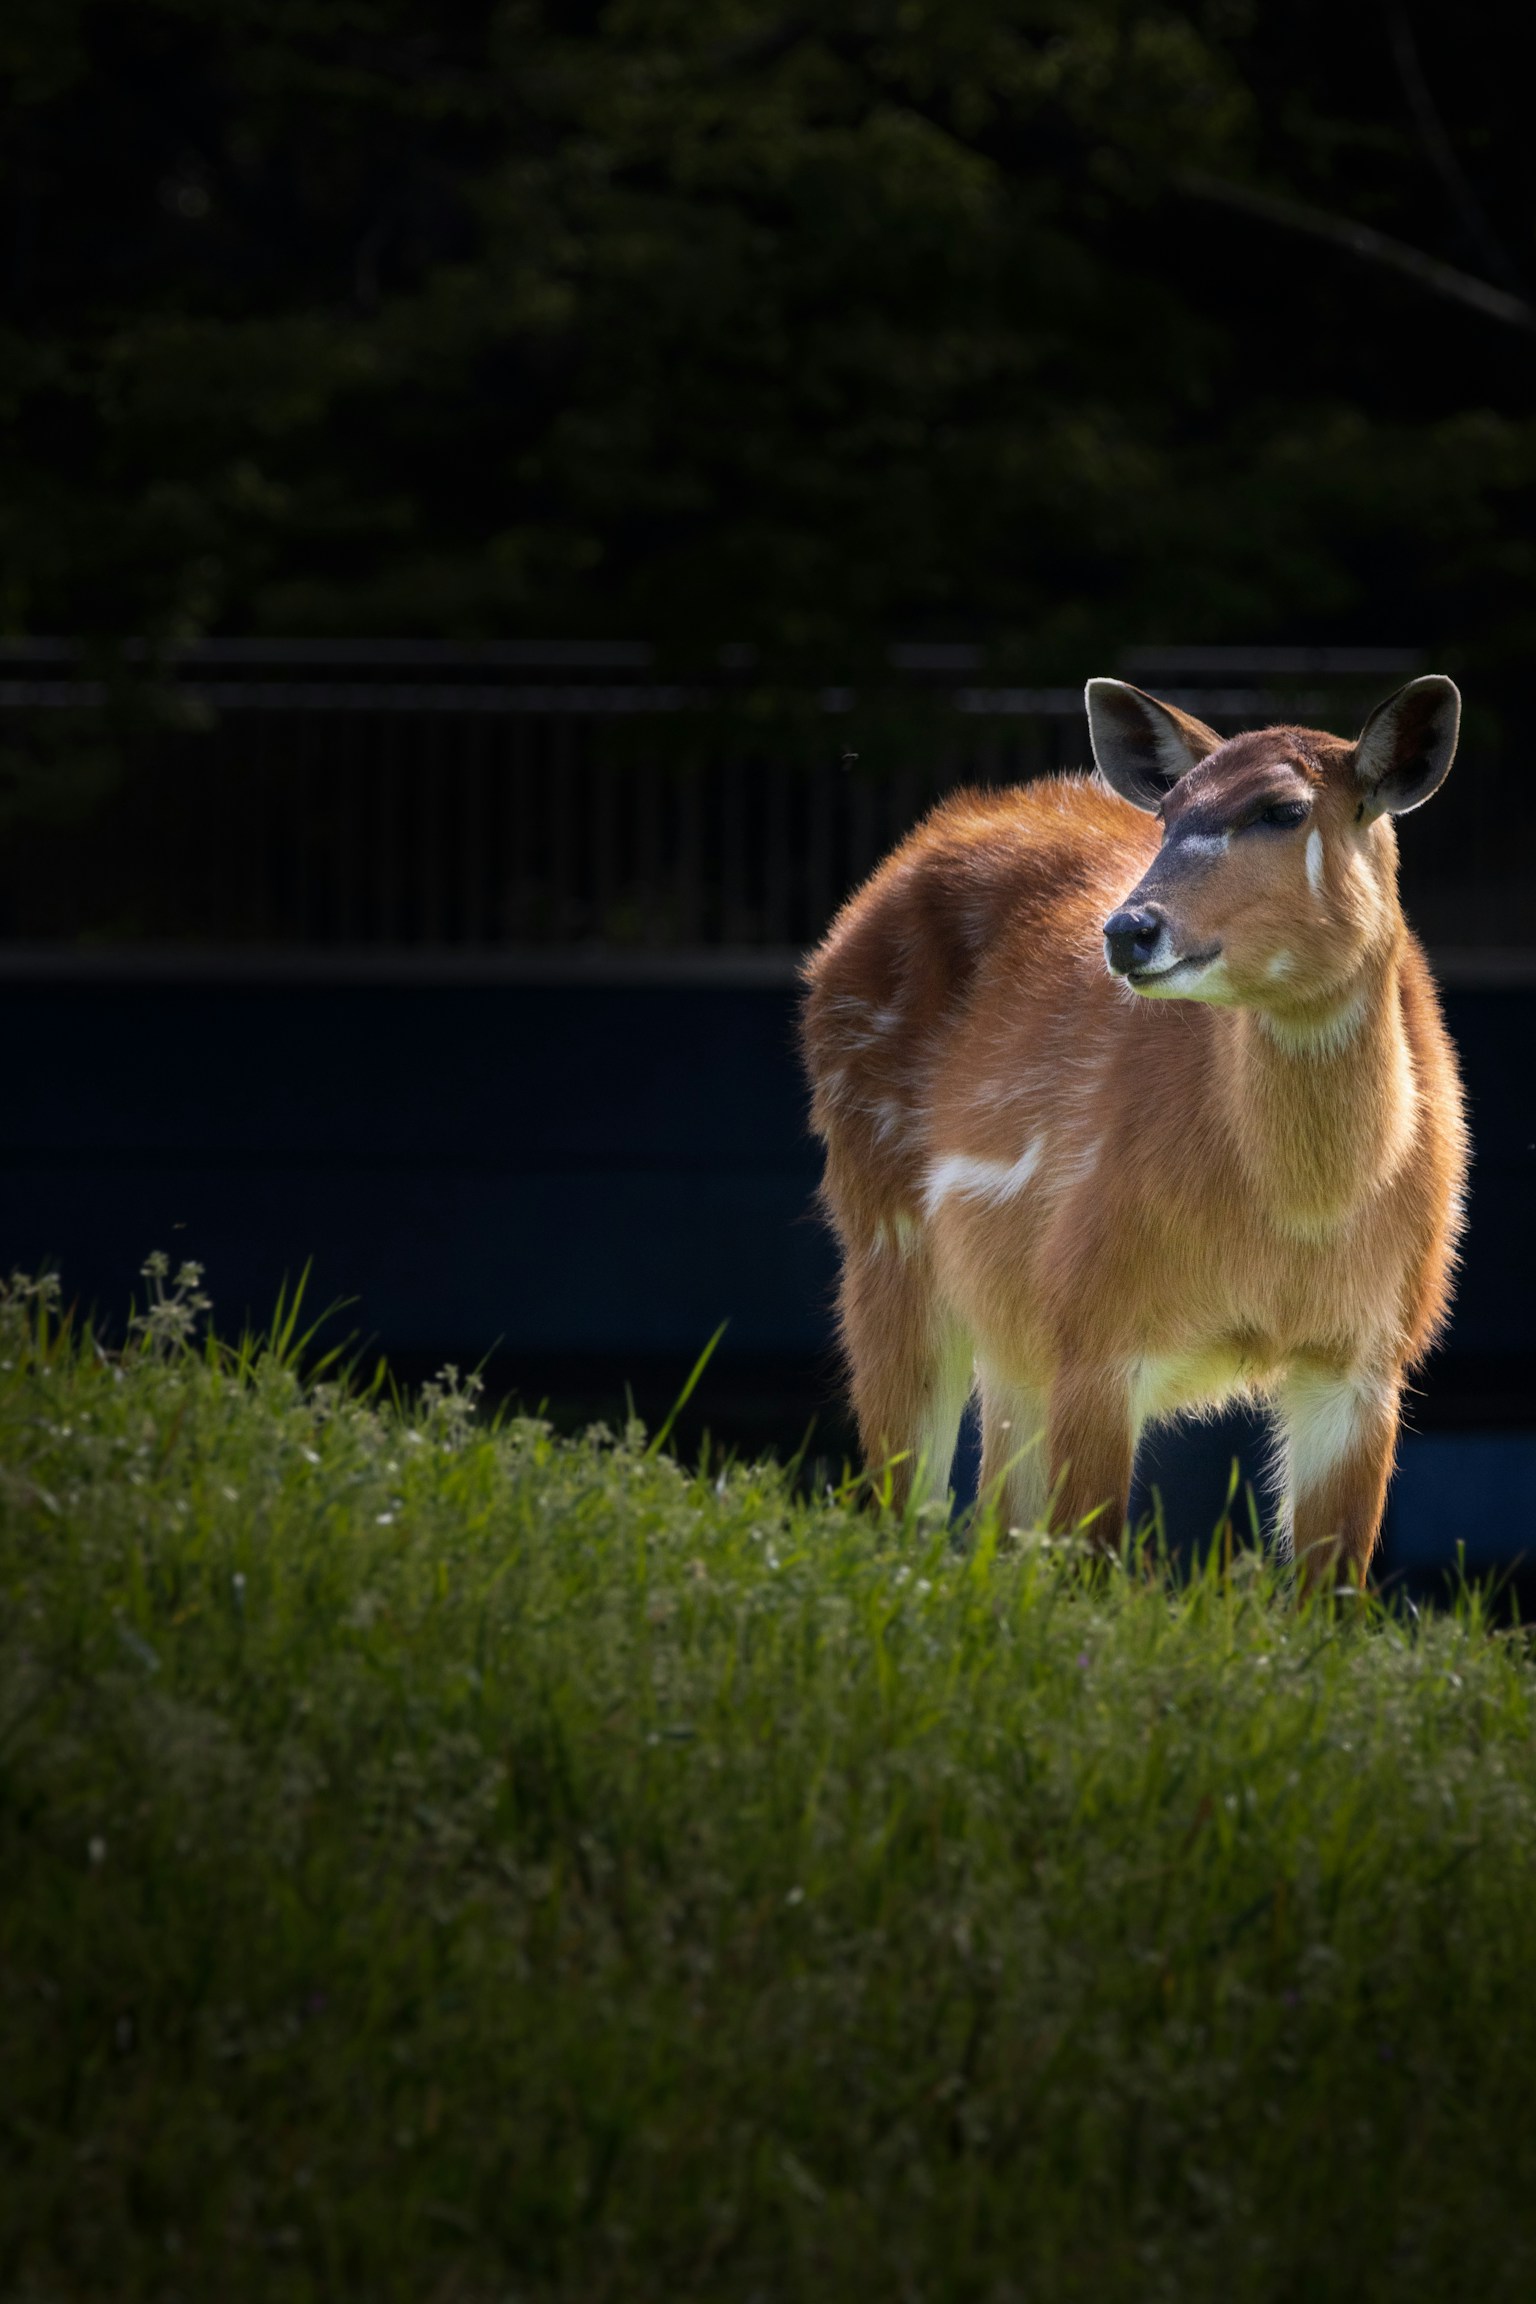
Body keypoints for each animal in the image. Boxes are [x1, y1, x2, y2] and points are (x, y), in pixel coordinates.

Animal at [801, 676, 1469, 1588]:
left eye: (1284, 808)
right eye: (1171, 810)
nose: (1128, 930)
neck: (1296, 1221)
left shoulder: (1370, 1354)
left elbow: (1331, 1587)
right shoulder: (1095, 1319)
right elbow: (1086, 1561)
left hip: (1009, 1327)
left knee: (996, 1517)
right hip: (884, 1237)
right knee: (902, 1501)